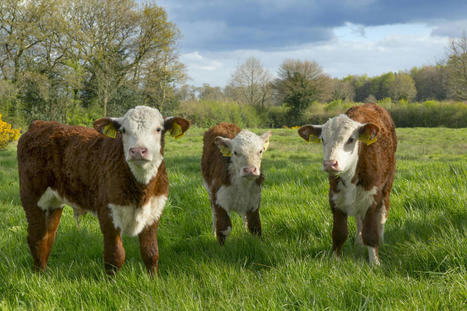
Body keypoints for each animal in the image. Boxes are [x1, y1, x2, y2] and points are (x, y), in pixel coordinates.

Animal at [17, 107, 190, 276]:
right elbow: (115, 255)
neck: (142, 191)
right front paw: (112, 282)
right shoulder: (108, 212)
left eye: (158, 129)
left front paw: (152, 280)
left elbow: (151, 252)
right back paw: (38, 274)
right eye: (124, 130)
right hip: (31, 196)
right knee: (36, 237)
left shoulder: (154, 211)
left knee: (48, 236)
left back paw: (44, 273)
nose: (138, 151)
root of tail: (40, 124)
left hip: (54, 202)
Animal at [300, 105, 398, 266]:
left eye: (351, 139)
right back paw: (358, 242)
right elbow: (339, 233)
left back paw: (382, 240)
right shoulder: (335, 198)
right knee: (359, 220)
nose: (330, 163)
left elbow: (371, 234)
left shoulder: (372, 198)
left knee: (383, 214)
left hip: (387, 186)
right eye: (323, 139)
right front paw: (334, 261)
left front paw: (375, 263)